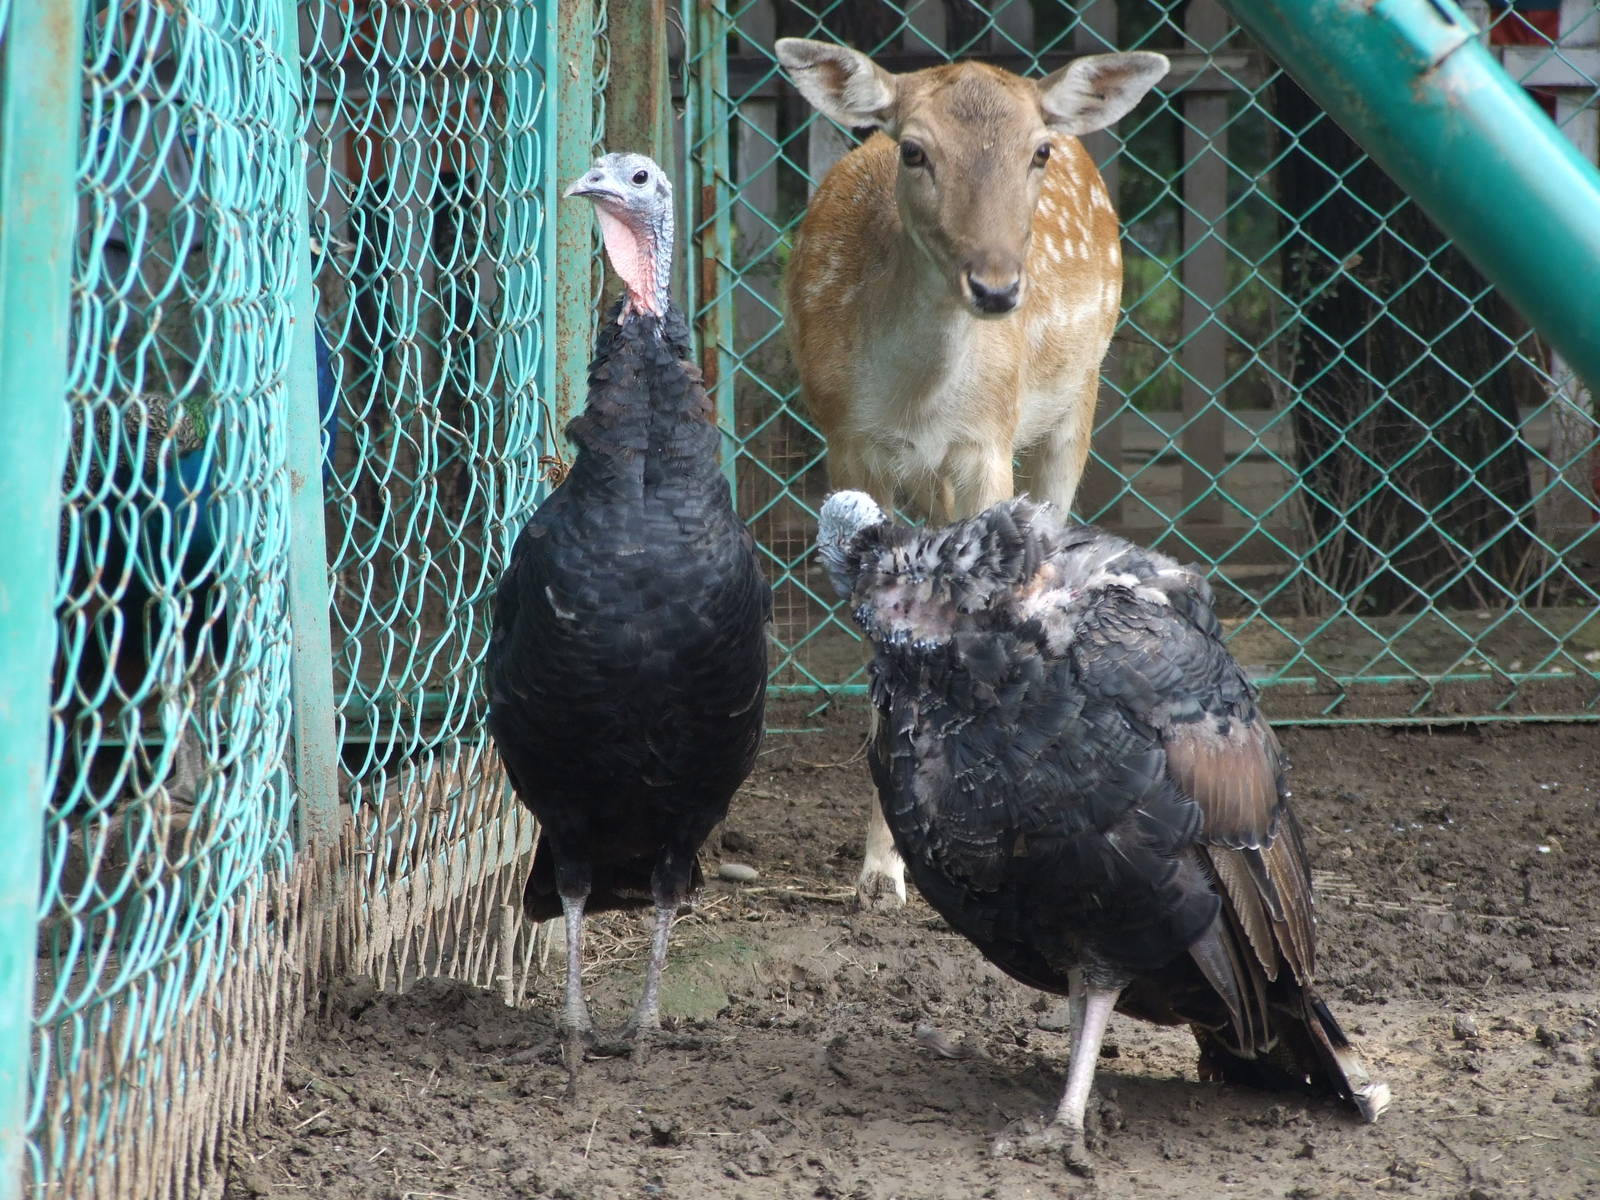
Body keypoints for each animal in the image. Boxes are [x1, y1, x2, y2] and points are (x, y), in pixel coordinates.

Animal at [776, 37, 1169, 908]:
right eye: (914, 150)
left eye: (1036, 152)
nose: (995, 287)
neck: (918, 399)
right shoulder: (847, 442)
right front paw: (882, 872)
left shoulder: (987, 444)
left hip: (1078, 400)